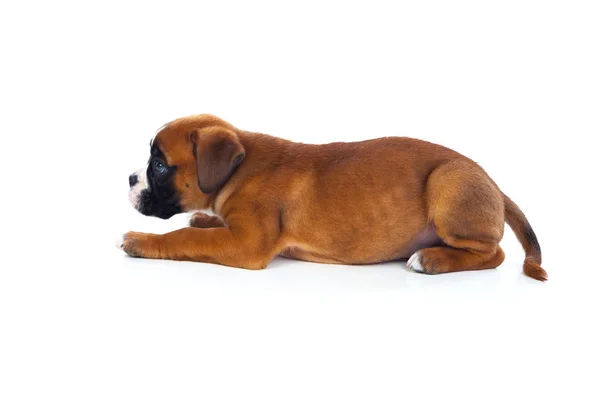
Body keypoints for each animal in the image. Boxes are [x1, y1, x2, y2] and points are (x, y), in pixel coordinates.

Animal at [119, 114, 548, 280]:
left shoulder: (247, 244)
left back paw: (432, 259)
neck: (238, 169)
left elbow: (185, 236)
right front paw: (205, 217)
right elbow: (202, 226)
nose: (129, 178)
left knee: (494, 253)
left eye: (159, 165)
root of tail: (494, 185)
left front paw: (141, 242)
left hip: (447, 180)